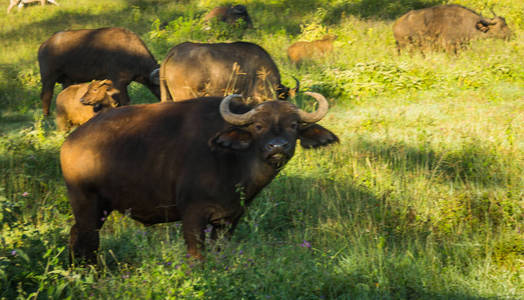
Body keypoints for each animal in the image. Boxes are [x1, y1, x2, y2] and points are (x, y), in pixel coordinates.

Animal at [60, 92, 340, 262]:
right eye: (258, 126)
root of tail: (70, 142)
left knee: (77, 235)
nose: (278, 147)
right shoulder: (193, 215)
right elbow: (197, 256)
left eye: (294, 125)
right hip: (85, 201)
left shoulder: (229, 220)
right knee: (88, 239)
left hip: (101, 207)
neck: (232, 161)